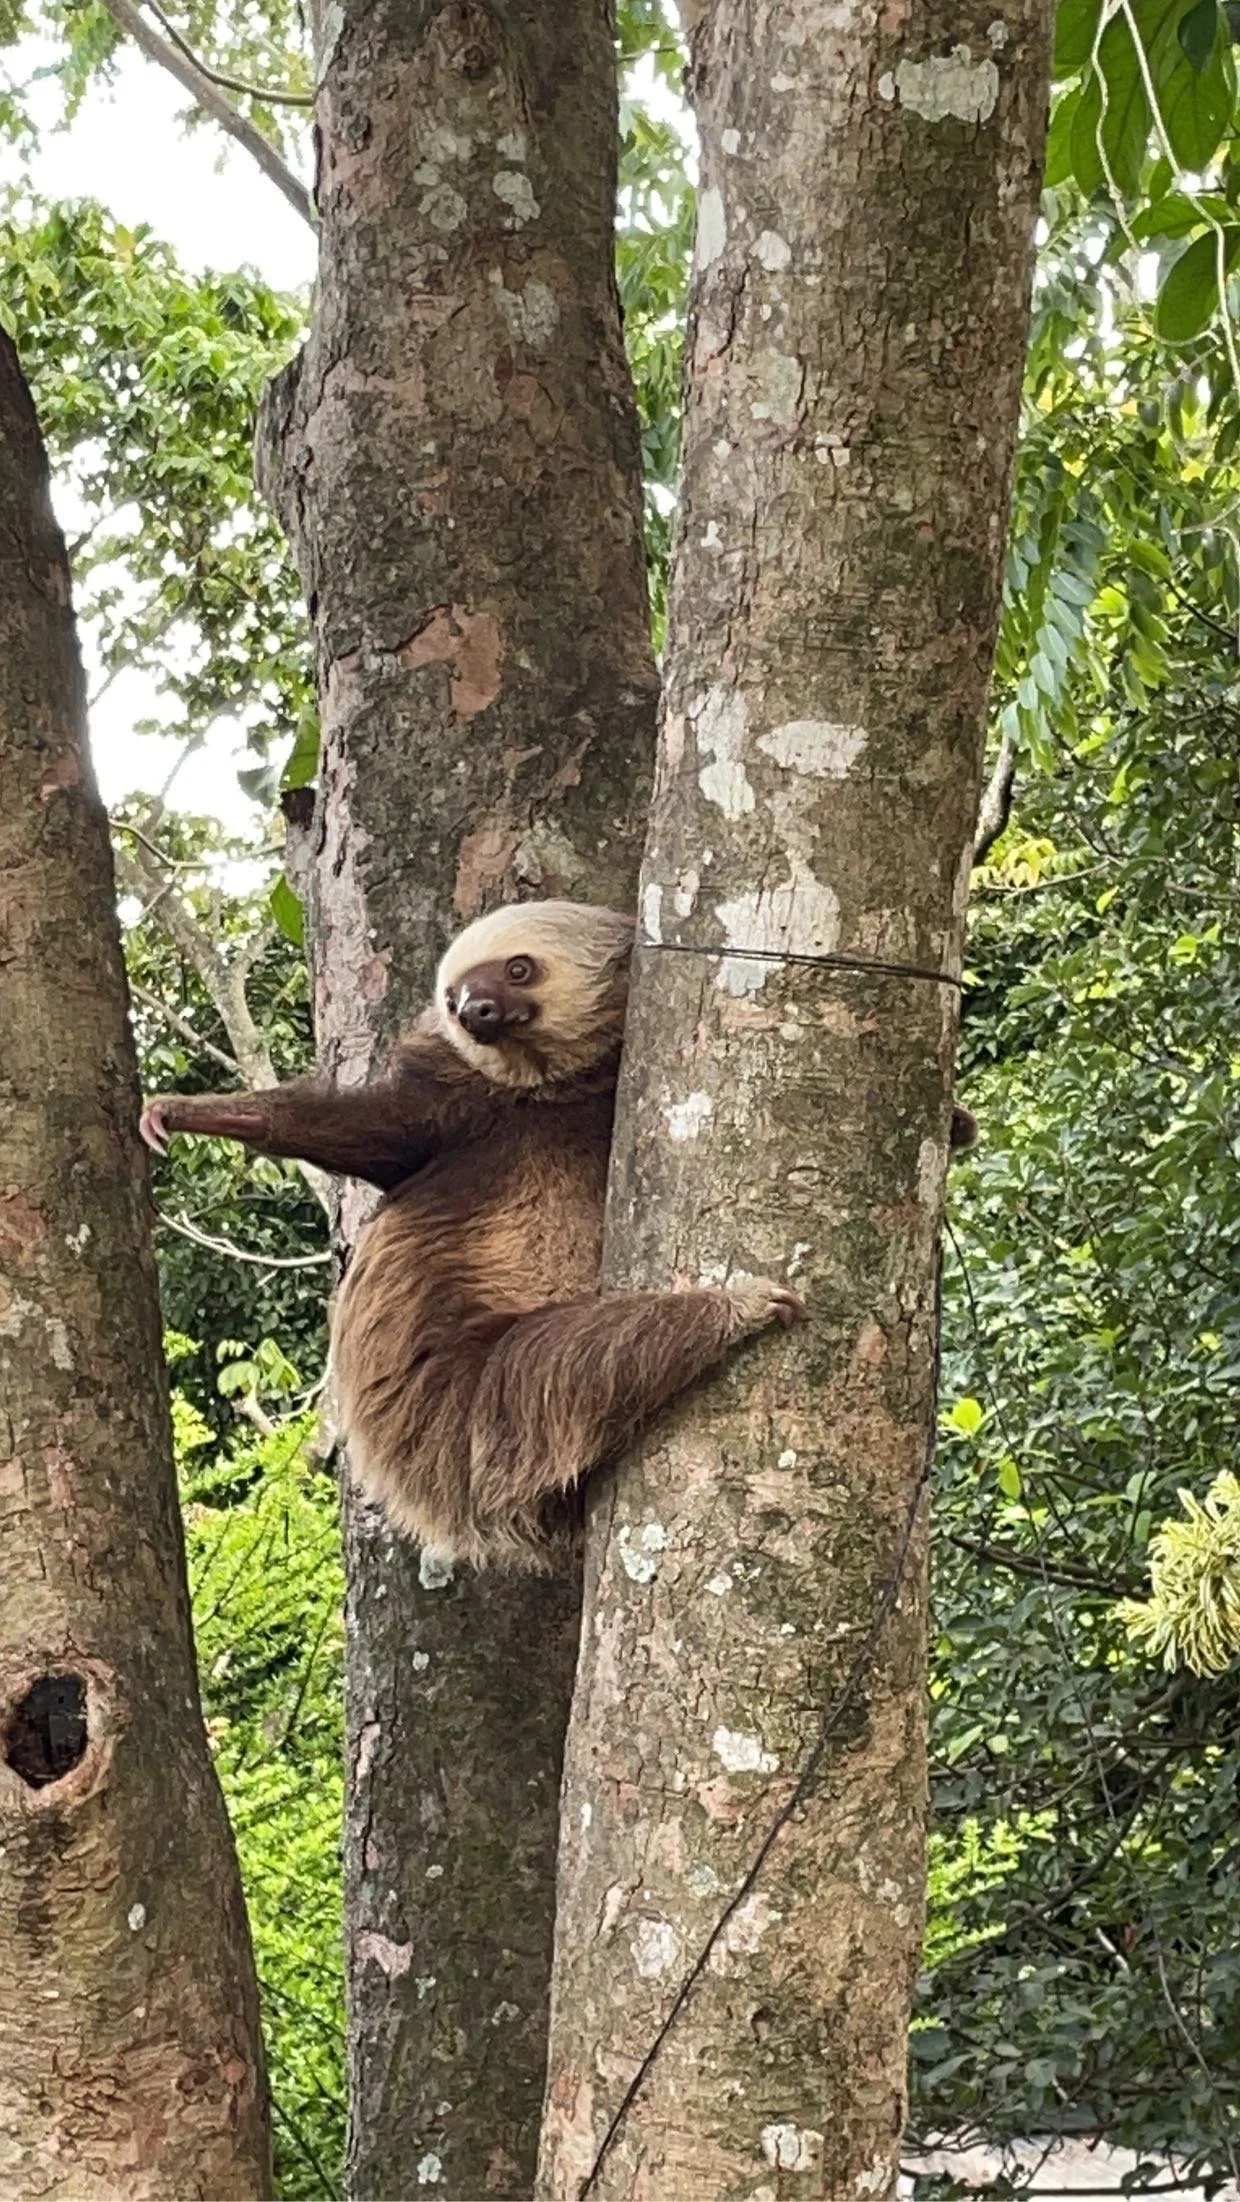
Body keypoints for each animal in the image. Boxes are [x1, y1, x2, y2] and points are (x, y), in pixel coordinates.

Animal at [140, 900, 975, 1571]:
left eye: (518, 969)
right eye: (453, 994)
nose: (475, 1009)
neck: (553, 1094)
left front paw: (956, 1121)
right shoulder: (448, 1104)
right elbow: (351, 1125)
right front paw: (195, 1110)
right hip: (472, 1418)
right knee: (569, 1362)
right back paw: (731, 1308)